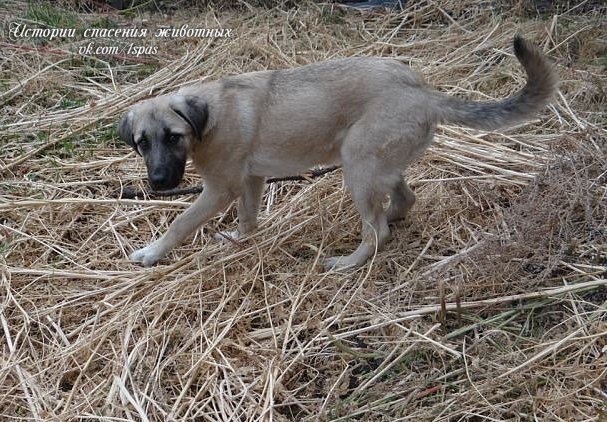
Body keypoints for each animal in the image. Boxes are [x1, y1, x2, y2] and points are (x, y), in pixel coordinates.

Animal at [120, 36, 560, 270]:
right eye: (142, 143)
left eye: (173, 137)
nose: (158, 183)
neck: (209, 115)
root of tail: (424, 92)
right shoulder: (251, 179)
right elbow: (248, 219)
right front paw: (240, 240)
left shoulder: (219, 189)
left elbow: (180, 223)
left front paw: (151, 253)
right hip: (374, 163)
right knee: (401, 202)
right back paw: (389, 218)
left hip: (357, 164)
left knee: (377, 230)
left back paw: (349, 261)